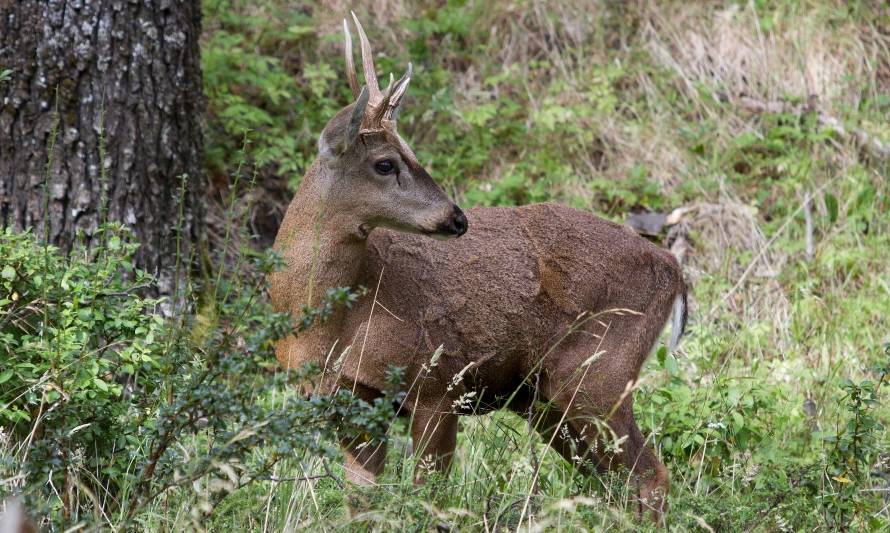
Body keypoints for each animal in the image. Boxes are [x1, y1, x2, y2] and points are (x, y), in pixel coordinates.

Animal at [270, 12, 688, 520]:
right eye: (385, 163)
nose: (457, 217)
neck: (328, 323)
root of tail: (672, 266)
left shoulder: (438, 384)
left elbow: (428, 497)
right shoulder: (348, 402)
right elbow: (362, 501)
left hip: (598, 373)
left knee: (651, 478)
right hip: (544, 400)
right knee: (616, 482)